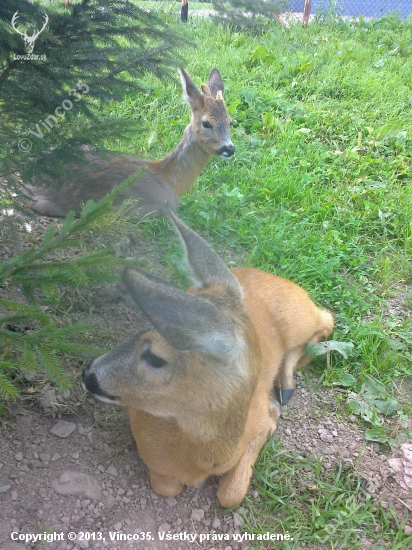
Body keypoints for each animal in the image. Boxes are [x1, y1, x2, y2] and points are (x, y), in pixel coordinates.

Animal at [82, 210, 334, 508]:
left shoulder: (256, 423)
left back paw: (285, 386)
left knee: (327, 319)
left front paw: (273, 414)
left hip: (297, 319)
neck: (199, 460)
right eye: (143, 327)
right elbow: (167, 487)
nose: (88, 375)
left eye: (155, 357)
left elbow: (230, 495)